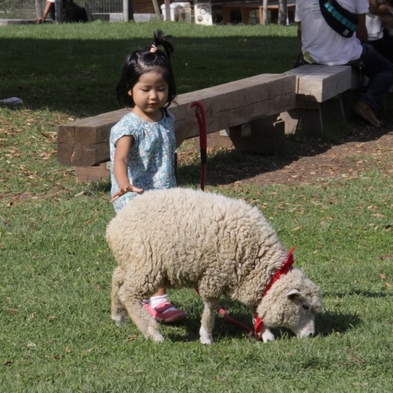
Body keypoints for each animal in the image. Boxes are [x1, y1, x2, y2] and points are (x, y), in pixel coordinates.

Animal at [105, 187, 322, 344]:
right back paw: (153, 333)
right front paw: (206, 336)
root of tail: (114, 225)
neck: (258, 261)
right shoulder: (215, 274)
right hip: (147, 265)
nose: (312, 335)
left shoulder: (248, 279)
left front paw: (266, 334)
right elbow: (210, 307)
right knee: (129, 294)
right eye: (305, 306)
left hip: (133, 262)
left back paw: (118, 316)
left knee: (117, 279)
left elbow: (255, 308)